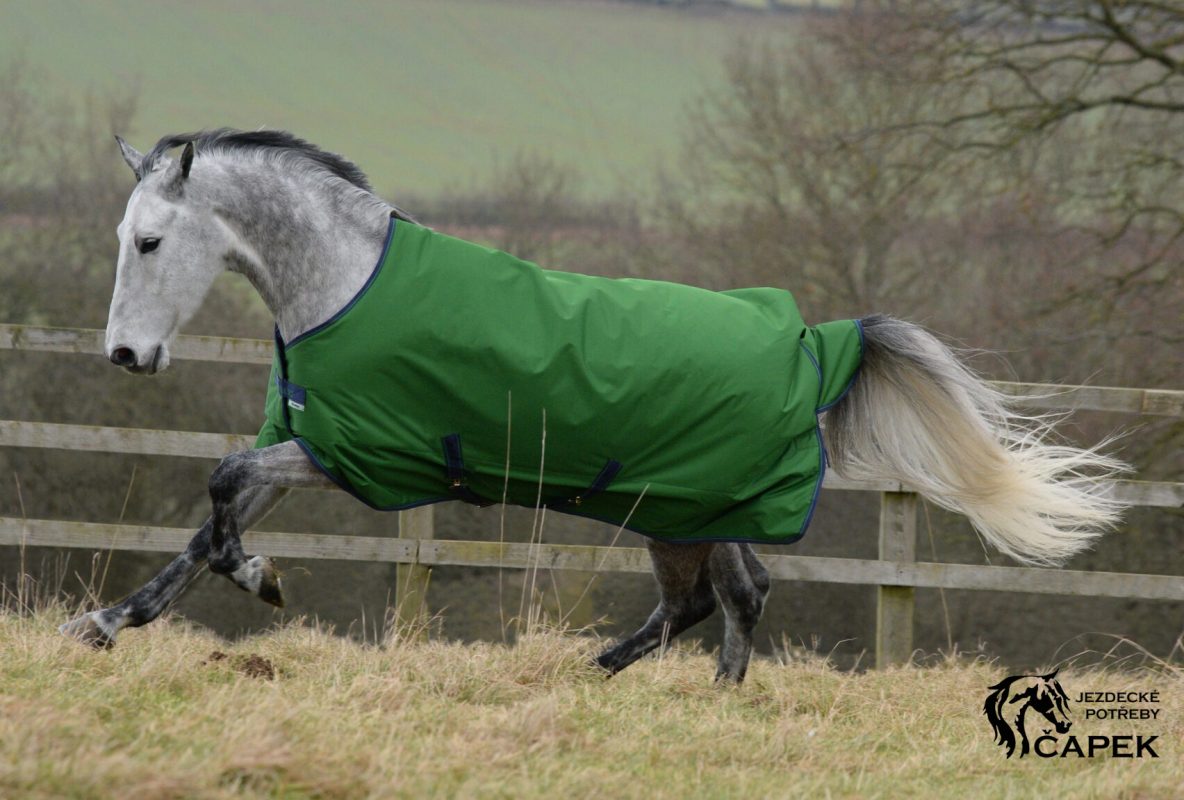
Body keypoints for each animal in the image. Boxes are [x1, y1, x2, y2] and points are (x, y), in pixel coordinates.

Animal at [60, 129, 1126, 682]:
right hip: (685, 511)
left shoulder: (357, 456)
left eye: (150, 241)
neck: (344, 284)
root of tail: (813, 343)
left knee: (733, 598)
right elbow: (205, 526)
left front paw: (265, 580)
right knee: (711, 599)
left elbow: (219, 490)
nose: (126, 355)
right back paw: (606, 673)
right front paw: (108, 624)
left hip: (694, 504)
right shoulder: (309, 446)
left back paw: (698, 701)